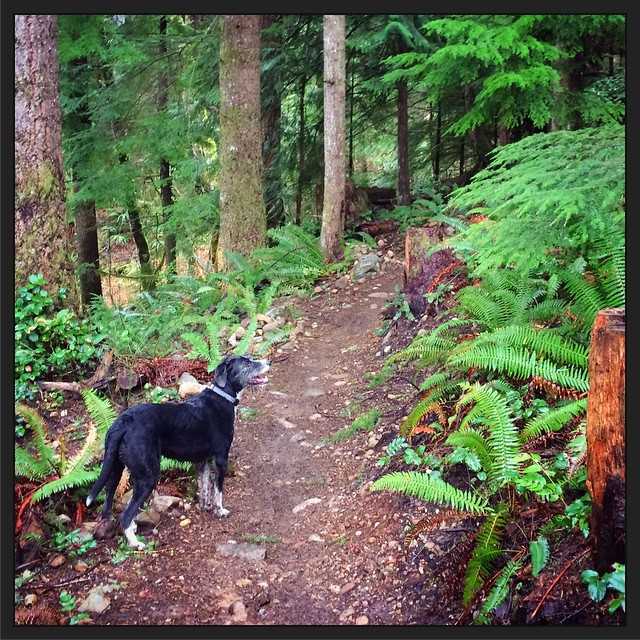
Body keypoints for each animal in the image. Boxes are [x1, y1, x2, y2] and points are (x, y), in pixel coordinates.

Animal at [84, 352, 268, 548]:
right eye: (247, 363)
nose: (269, 362)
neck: (223, 395)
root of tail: (121, 423)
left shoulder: (203, 461)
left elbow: (204, 487)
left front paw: (206, 507)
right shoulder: (220, 459)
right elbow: (218, 490)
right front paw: (220, 511)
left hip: (115, 469)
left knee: (109, 502)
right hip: (148, 476)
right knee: (125, 515)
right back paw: (136, 543)